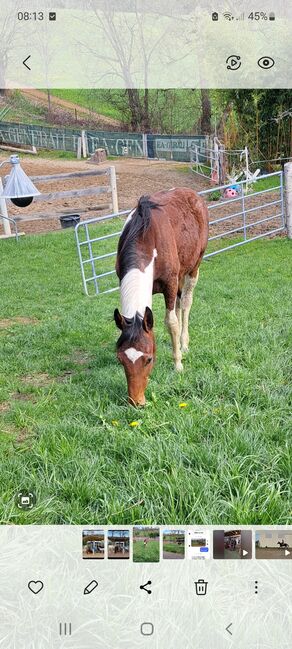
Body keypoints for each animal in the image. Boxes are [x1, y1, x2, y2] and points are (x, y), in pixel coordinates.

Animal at [113, 185, 209, 404]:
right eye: (120, 359)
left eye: (149, 359)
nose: (136, 401)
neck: (145, 236)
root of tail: (192, 194)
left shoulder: (170, 283)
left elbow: (171, 322)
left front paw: (178, 364)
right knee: (179, 303)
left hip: (193, 267)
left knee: (185, 303)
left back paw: (184, 344)